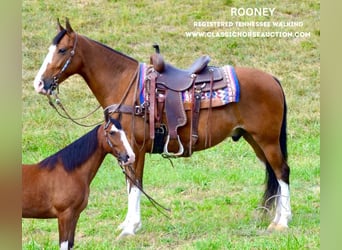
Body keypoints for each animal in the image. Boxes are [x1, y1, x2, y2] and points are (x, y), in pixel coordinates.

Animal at [21, 117, 135, 250]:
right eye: (112, 132)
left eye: (125, 132)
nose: (130, 157)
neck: (70, 173)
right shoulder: (64, 215)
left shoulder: (75, 215)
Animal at [32, 18, 292, 237]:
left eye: (62, 50)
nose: (39, 84)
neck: (124, 84)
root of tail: (272, 79)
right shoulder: (125, 149)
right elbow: (131, 184)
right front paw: (128, 224)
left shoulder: (134, 148)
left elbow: (135, 184)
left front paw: (130, 228)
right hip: (255, 140)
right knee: (274, 173)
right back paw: (279, 217)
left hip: (267, 140)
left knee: (282, 172)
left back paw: (282, 222)